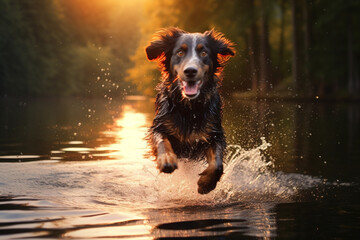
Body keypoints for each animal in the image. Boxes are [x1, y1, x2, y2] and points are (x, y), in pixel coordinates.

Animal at [145, 27, 235, 194]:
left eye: (204, 53)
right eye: (180, 52)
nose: (190, 71)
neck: (190, 109)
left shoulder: (214, 133)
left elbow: (217, 164)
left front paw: (206, 183)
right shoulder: (159, 126)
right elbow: (162, 142)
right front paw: (166, 159)